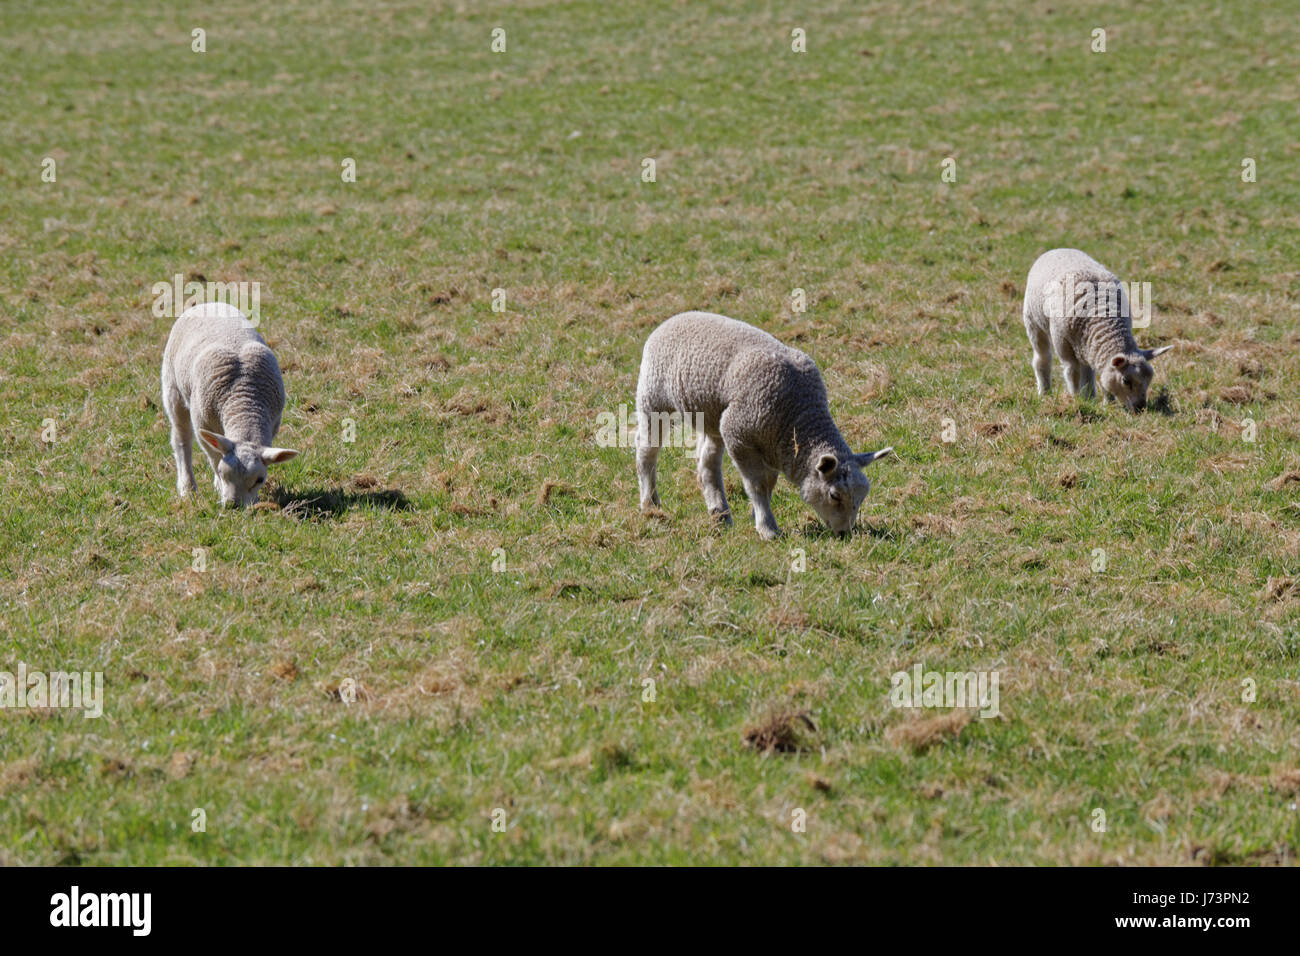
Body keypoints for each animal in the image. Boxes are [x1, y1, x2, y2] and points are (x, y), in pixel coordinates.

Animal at [159, 304, 297, 509]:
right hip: (173, 389)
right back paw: (188, 489)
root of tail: (207, 303)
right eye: (223, 473)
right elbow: (214, 456)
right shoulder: (202, 423)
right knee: (181, 440)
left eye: (260, 480)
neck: (243, 404)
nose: (234, 506)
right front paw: (219, 486)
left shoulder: (273, 423)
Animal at [631, 312, 894, 538]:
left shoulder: (771, 445)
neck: (797, 417)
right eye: (834, 495)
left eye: (861, 497)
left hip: (715, 417)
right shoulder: (740, 436)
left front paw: (756, 514)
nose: (844, 533)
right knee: (646, 451)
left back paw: (720, 514)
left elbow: (769, 484)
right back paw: (650, 504)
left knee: (707, 462)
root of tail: (675, 317)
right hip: (653, 397)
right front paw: (767, 528)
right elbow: (757, 485)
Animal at [1019, 248, 1175, 413]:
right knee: (1043, 357)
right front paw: (1076, 399)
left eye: (1150, 379)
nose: (1140, 408)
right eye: (1126, 381)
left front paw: (1101, 402)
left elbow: (1098, 377)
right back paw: (1045, 391)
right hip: (1032, 320)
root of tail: (1058, 249)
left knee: (1087, 369)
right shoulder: (1064, 344)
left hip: (1084, 346)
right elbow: (1072, 373)